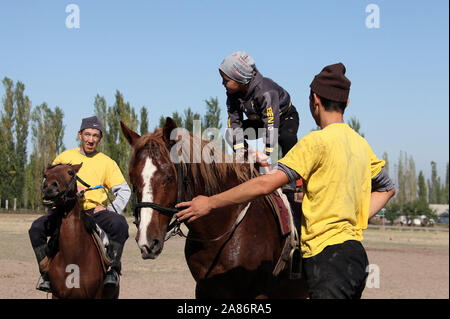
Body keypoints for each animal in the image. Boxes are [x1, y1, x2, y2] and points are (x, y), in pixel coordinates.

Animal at [40, 165, 118, 300]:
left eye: (71, 172)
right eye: (45, 174)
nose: (49, 187)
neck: (73, 256)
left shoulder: (96, 295)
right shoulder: (57, 295)